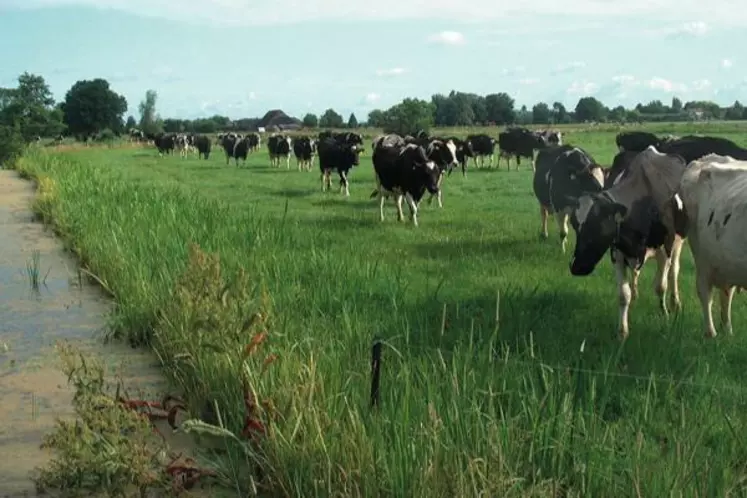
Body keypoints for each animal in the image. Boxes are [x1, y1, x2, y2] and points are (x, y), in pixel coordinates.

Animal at [568, 144, 688, 338]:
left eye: (596, 226)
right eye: (574, 224)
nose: (576, 267)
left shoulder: (666, 248)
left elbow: (660, 286)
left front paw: (664, 313)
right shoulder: (617, 252)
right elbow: (623, 294)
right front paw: (622, 331)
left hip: (679, 243)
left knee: (673, 271)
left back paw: (675, 302)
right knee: (637, 275)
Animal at [676, 153, 747, 338]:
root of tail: (705, 159)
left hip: (725, 262)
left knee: (726, 293)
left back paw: (727, 330)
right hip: (702, 258)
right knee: (705, 292)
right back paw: (711, 333)